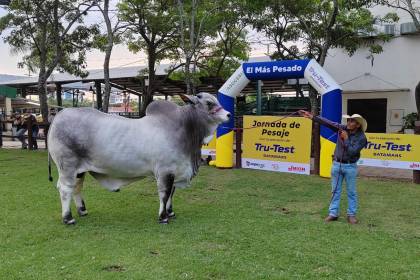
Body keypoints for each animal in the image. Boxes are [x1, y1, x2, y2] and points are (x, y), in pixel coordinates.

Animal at [48, 93, 231, 224]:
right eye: (209, 103)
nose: (229, 114)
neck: (185, 128)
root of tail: (59, 116)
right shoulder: (165, 171)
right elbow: (165, 193)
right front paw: (163, 217)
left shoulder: (175, 170)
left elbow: (172, 193)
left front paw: (171, 213)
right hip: (67, 166)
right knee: (65, 188)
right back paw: (68, 218)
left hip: (80, 170)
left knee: (77, 187)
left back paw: (82, 211)